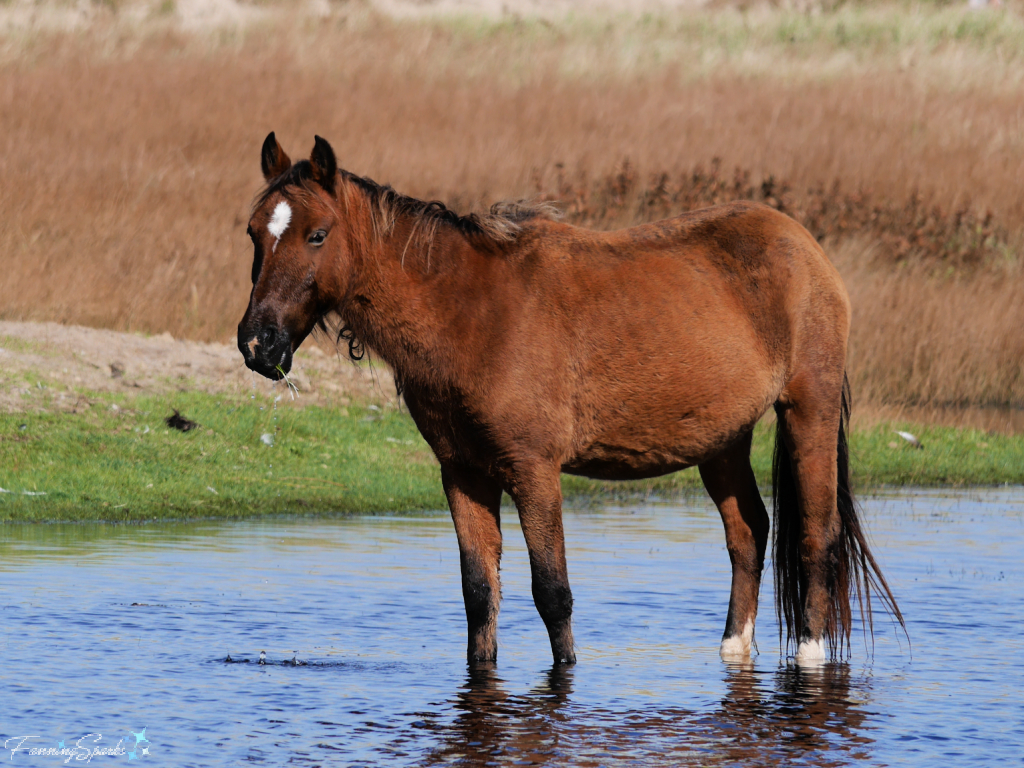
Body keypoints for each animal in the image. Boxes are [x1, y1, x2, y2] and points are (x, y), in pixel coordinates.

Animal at [235, 137, 901, 667]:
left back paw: (809, 654)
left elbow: (552, 593)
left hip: (808, 412)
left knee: (816, 534)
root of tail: (805, 245)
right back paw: (734, 648)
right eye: (254, 233)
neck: (471, 313)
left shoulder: (534, 471)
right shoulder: (463, 473)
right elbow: (479, 594)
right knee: (749, 534)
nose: (257, 343)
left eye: (317, 234)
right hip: (723, 440)